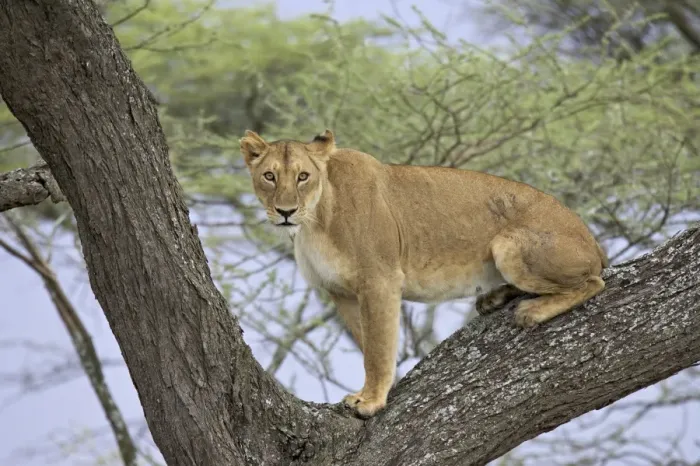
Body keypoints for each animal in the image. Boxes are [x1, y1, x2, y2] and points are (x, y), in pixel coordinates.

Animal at [240, 129, 608, 418]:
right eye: (269, 176)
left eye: (303, 176)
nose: (285, 211)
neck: (314, 222)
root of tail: (592, 239)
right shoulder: (341, 292)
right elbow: (367, 344)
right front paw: (372, 393)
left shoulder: (380, 279)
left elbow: (378, 349)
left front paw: (371, 402)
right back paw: (494, 298)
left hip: (508, 244)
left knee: (594, 281)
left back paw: (532, 311)